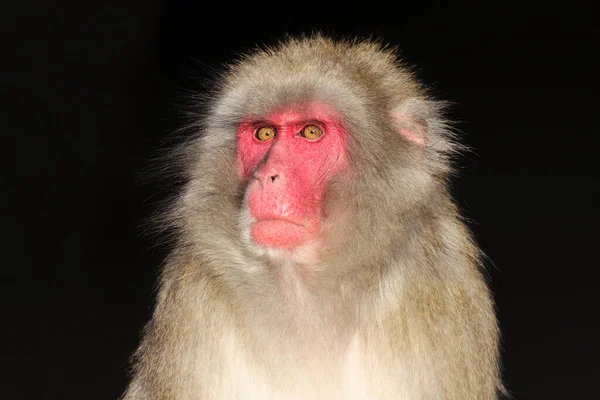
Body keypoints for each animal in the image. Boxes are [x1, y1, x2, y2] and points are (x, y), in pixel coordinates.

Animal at [124, 36, 504, 398]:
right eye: (264, 133)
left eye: (311, 131)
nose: (266, 176)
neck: (304, 288)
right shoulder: (192, 297)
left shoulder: (437, 284)